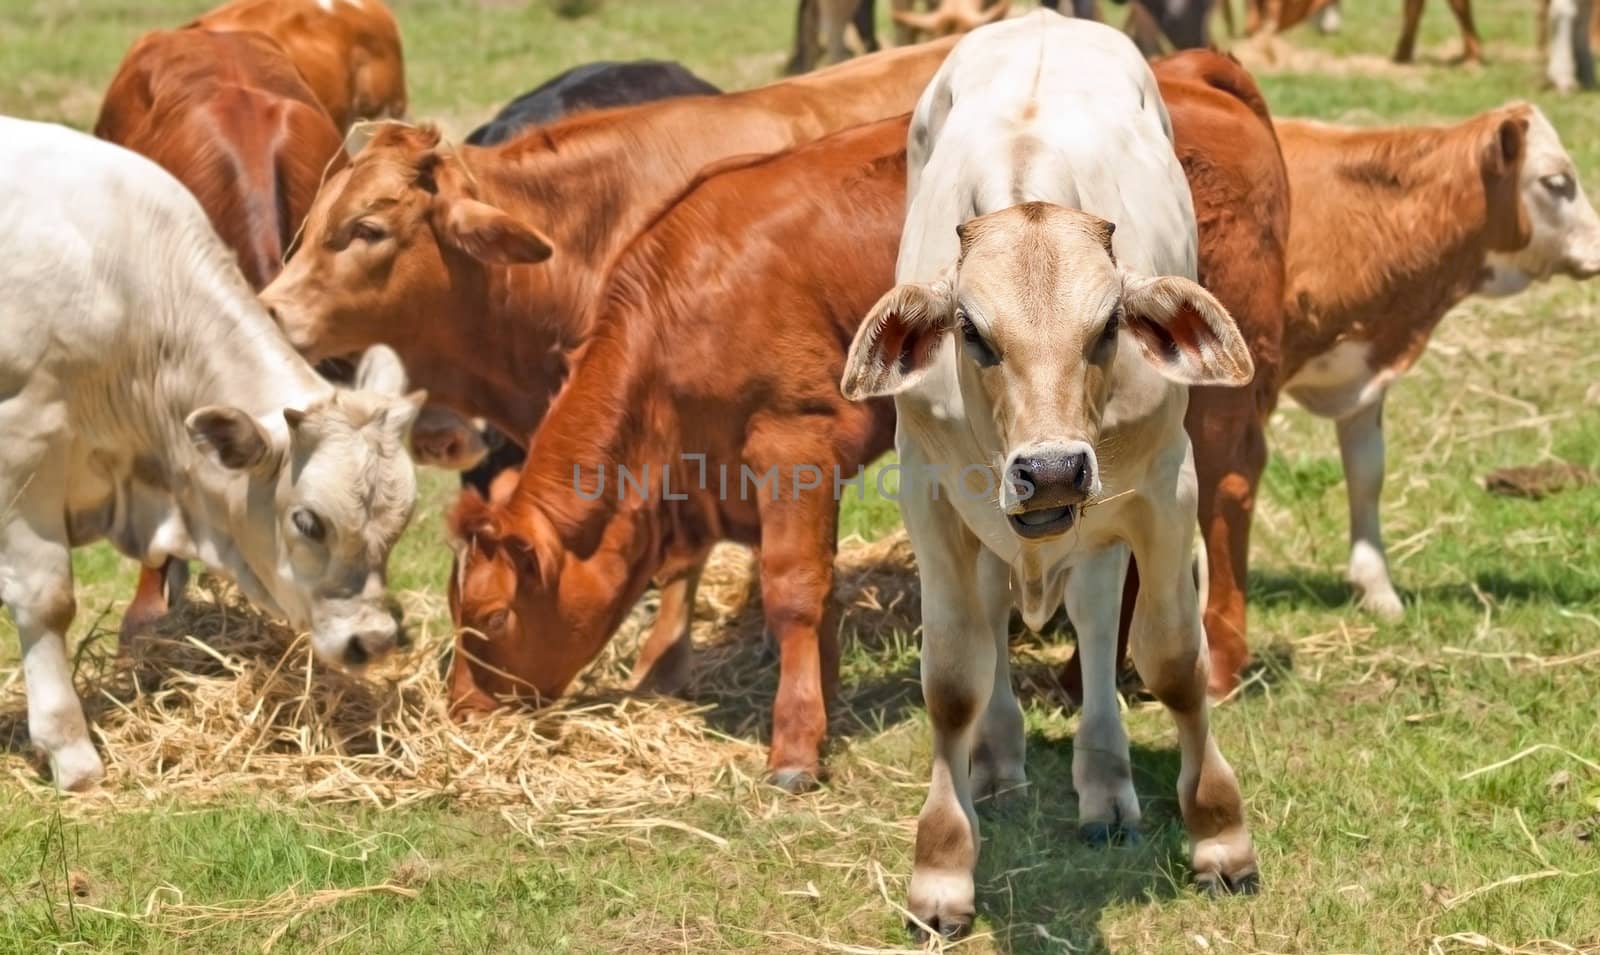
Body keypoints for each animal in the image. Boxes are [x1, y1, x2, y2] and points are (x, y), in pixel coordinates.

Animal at [1, 117, 425, 790]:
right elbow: (48, 597)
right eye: (308, 521)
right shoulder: (25, 443)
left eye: (401, 522)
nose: (373, 642)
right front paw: (69, 750)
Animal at [448, 115, 915, 790]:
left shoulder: (794, 440)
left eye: (491, 617)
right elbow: (820, 587)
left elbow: (793, 589)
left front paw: (794, 748)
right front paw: (824, 705)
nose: (462, 711)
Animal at [844, 12, 1267, 940]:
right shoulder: (931, 499)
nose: (1051, 469)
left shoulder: (1166, 489)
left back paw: (1105, 784)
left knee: (1100, 613)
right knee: (998, 615)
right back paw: (998, 759)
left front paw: (1221, 834)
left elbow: (1173, 659)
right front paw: (941, 869)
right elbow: (953, 680)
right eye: (972, 331)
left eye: (1107, 325)